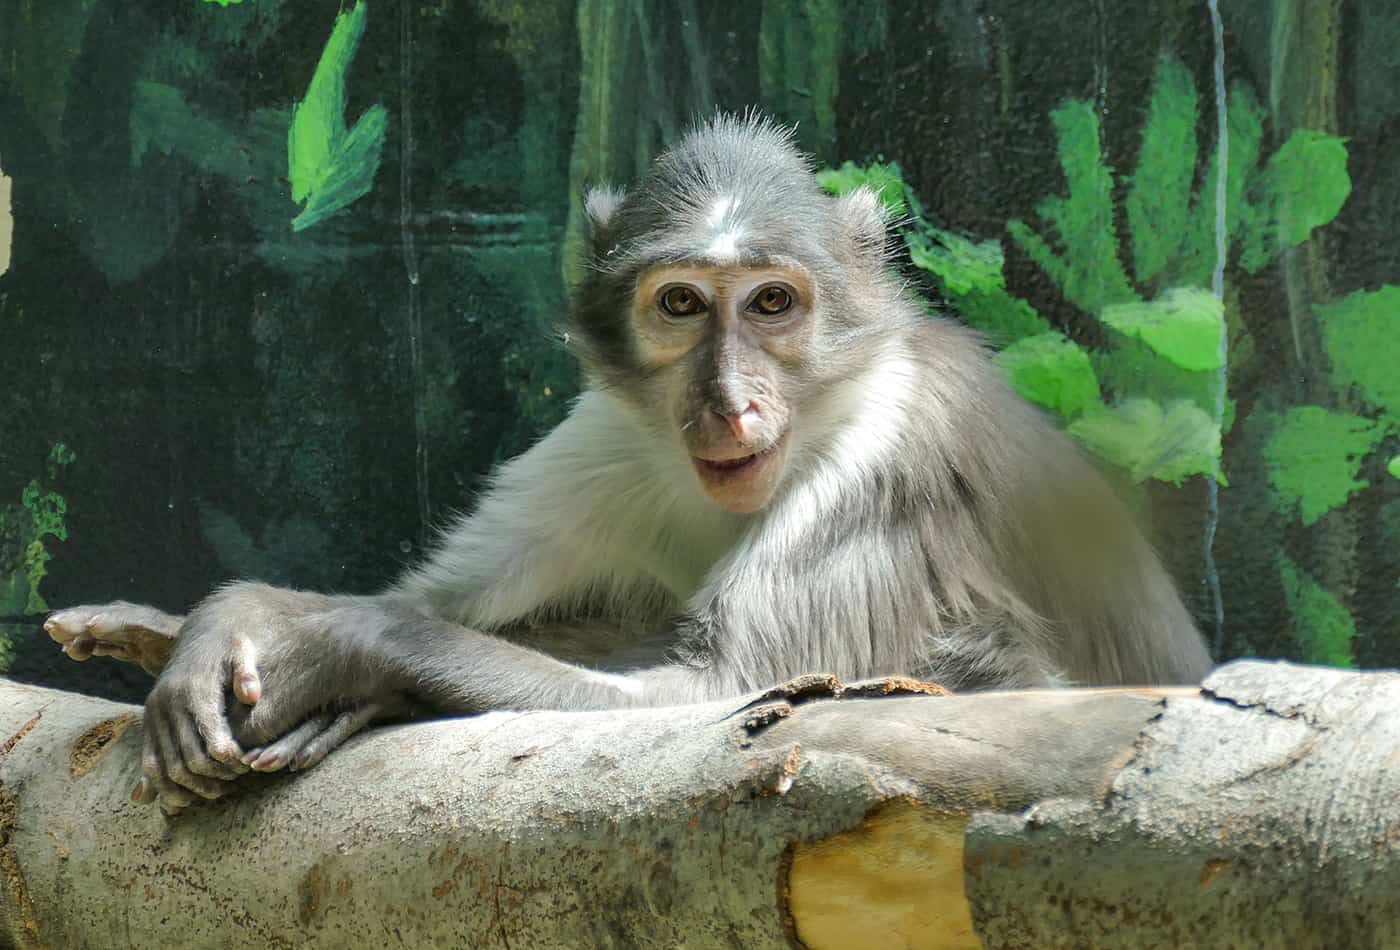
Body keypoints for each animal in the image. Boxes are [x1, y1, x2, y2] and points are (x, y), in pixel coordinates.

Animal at [49, 111, 1209, 811]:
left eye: (773, 303)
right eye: (683, 304)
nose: (729, 400)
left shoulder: (885, 459)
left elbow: (721, 696)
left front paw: (342, 654)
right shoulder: (602, 438)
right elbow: (442, 602)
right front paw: (212, 618)